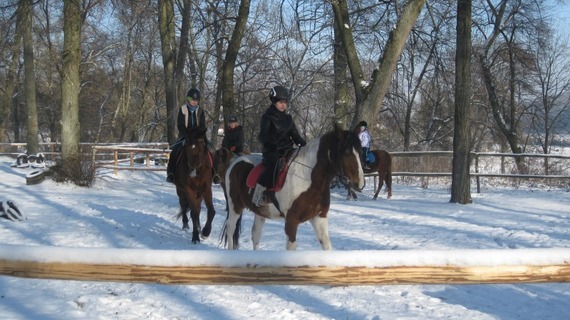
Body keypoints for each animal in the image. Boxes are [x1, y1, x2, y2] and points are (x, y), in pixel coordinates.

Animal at [220, 124, 362, 251]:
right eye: (346, 152)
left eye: (360, 150)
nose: (360, 183)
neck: (309, 179)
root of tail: (235, 162)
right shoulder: (291, 221)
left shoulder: (319, 218)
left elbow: (327, 247)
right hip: (235, 206)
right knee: (231, 230)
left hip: (260, 211)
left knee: (255, 235)